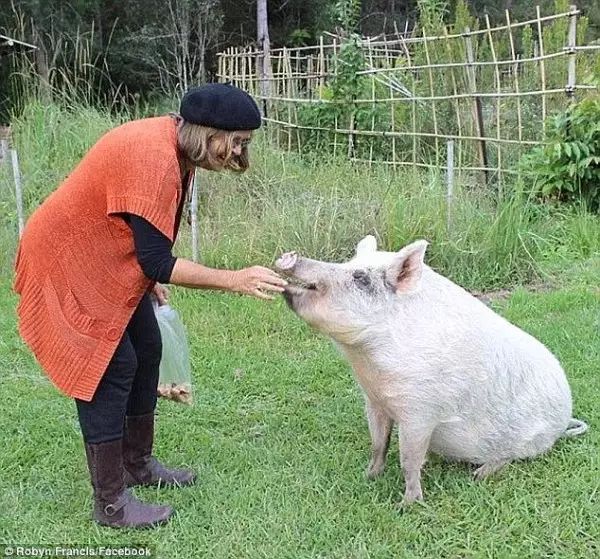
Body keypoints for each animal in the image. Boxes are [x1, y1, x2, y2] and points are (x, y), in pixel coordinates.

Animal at [276, 237, 584, 508]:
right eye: (349, 262)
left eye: (360, 277)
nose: (289, 256)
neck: (368, 364)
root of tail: (564, 419)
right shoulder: (373, 400)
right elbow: (378, 443)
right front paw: (368, 477)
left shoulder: (421, 411)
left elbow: (408, 460)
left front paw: (405, 505)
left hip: (530, 442)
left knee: (508, 457)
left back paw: (478, 475)